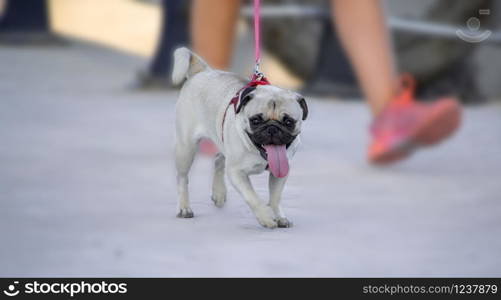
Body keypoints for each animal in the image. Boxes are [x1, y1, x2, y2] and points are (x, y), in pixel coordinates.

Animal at [172, 48, 306, 229]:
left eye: (288, 122)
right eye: (255, 120)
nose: (272, 128)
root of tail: (202, 71)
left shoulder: (281, 171)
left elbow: (275, 197)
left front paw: (279, 216)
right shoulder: (236, 172)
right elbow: (252, 197)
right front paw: (266, 217)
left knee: (219, 160)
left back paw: (219, 193)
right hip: (186, 148)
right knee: (182, 178)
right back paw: (184, 208)